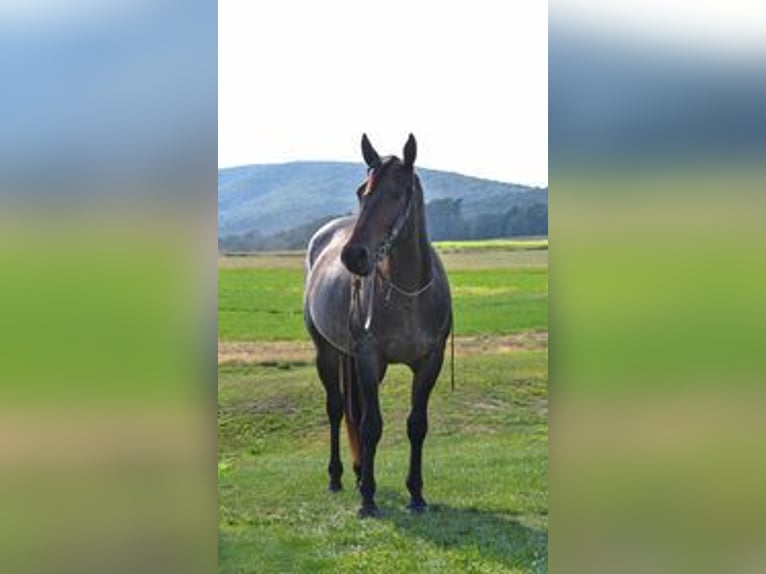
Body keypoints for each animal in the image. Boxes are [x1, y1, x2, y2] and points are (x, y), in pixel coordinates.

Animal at [304, 134, 452, 516]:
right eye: (362, 191)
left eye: (398, 193)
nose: (353, 256)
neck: (409, 294)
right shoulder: (370, 360)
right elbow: (371, 426)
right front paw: (368, 499)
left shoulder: (429, 362)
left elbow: (417, 425)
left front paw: (416, 494)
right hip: (327, 353)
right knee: (337, 409)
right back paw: (338, 477)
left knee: (352, 410)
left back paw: (358, 474)